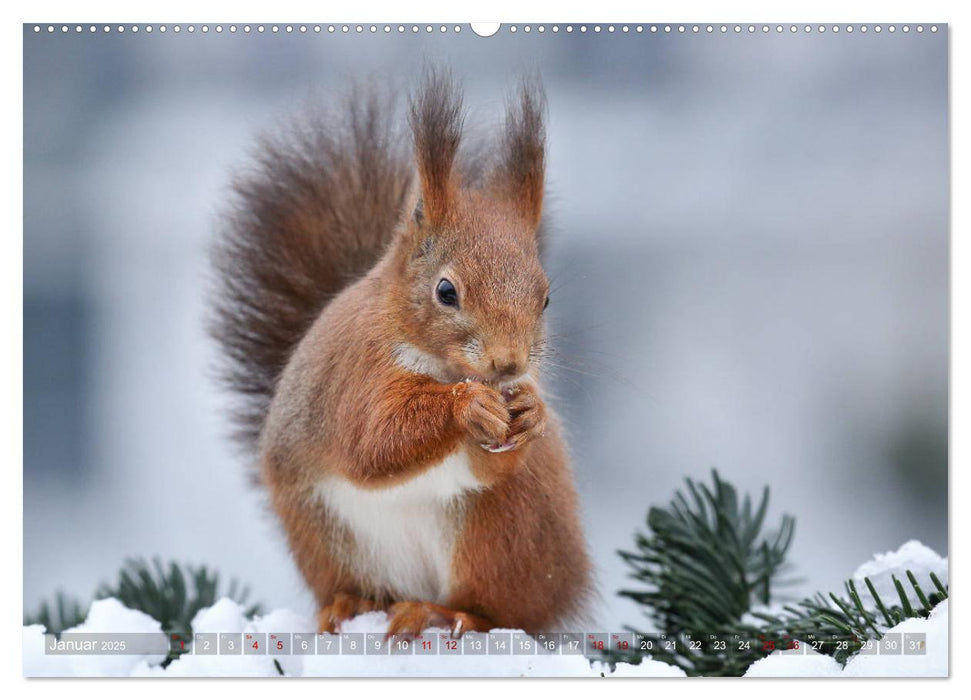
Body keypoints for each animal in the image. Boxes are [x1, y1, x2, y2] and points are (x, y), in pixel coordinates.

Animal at [213, 74, 592, 636]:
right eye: (445, 291)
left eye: (545, 298)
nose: (509, 365)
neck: (443, 368)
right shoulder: (356, 372)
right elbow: (373, 440)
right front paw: (466, 407)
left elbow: (489, 467)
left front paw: (532, 412)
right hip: (327, 536)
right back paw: (355, 605)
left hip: (500, 531)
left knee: (500, 610)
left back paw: (445, 612)